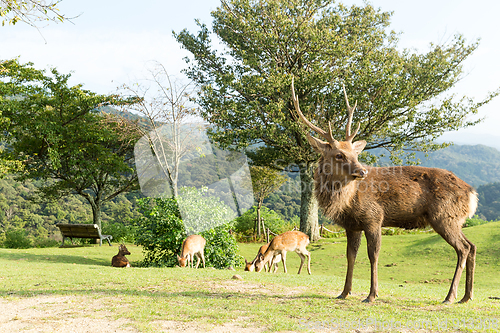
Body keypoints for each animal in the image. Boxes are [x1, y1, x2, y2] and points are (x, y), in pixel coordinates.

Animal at [292, 79, 478, 302]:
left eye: (355, 153)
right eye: (339, 155)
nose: (362, 171)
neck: (347, 202)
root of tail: (472, 194)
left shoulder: (374, 217)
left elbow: (373, 255)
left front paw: (372, 294)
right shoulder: (352, 225)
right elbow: (350, 256)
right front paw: (344, 292)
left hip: (444, 216)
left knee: (463, 248)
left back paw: (450, 296)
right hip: (455, 219)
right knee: (472, 246)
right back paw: (466, 296)